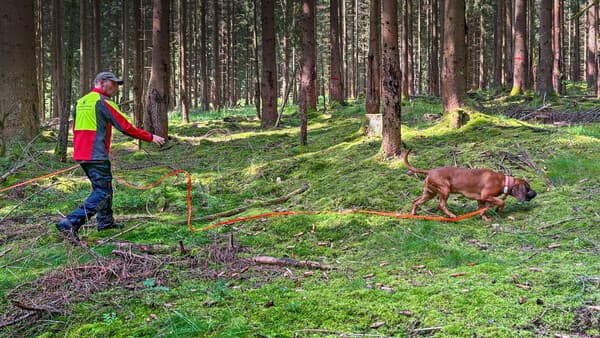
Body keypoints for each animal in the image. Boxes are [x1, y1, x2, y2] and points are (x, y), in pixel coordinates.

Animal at [404, 149, 536, 220]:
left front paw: (485, 218)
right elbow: (501, 201)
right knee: (441, 204)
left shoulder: (480, 199)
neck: (504, 181)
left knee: (416, 201)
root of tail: (429, 171)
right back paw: (451, 215)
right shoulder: (486, 196)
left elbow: (482, 210)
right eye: (528, 188)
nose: (535, 193)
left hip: (429, 193)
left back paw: (412, 214)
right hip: (445, 190)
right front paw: (499, 208)